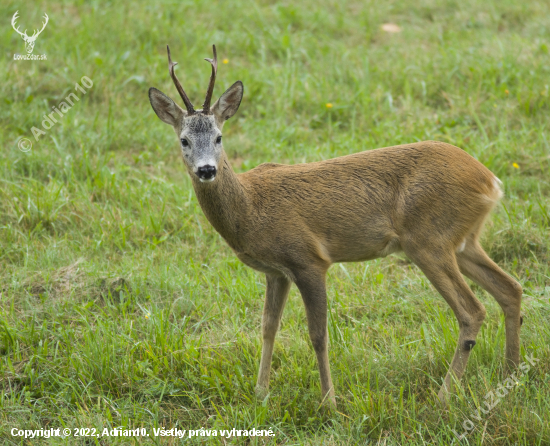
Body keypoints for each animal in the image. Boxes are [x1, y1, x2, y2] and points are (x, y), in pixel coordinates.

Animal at [149, 45, 524, 408]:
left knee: (472, 311)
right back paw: (509, 376)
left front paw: (328, 402)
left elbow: (318, 335)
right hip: (462, 241)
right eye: (184, 140)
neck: (251, 207)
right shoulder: (277, 272)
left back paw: (444, 396)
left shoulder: (309, 260)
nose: (207, 170)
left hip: (428, 241)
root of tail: (491, 181)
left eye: (219, 137)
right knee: (510, 288)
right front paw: (260, 394)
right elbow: (268, 327)